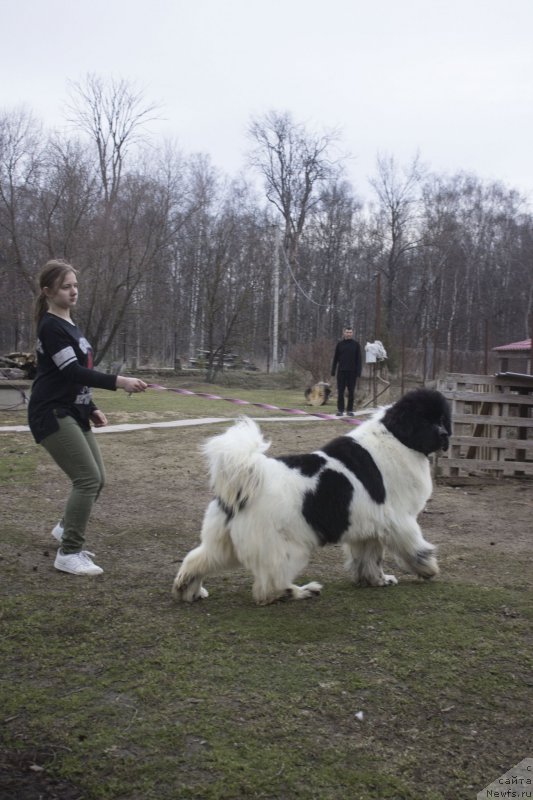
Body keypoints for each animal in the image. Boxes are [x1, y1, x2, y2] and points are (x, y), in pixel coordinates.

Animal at [172, 390, 450, 608]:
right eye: (424, 420)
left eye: (442, 418)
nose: (445, 434)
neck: (397, 437)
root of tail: (246, 480)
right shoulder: (400, 520)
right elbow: (416, 548)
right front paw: (428, 570)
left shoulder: (369, 527)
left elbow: (370, 559)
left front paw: (377, 580)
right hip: (288, 549)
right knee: (268, 587)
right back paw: (301, 591)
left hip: (222, 543)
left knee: (198, 559)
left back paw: (188, 589)